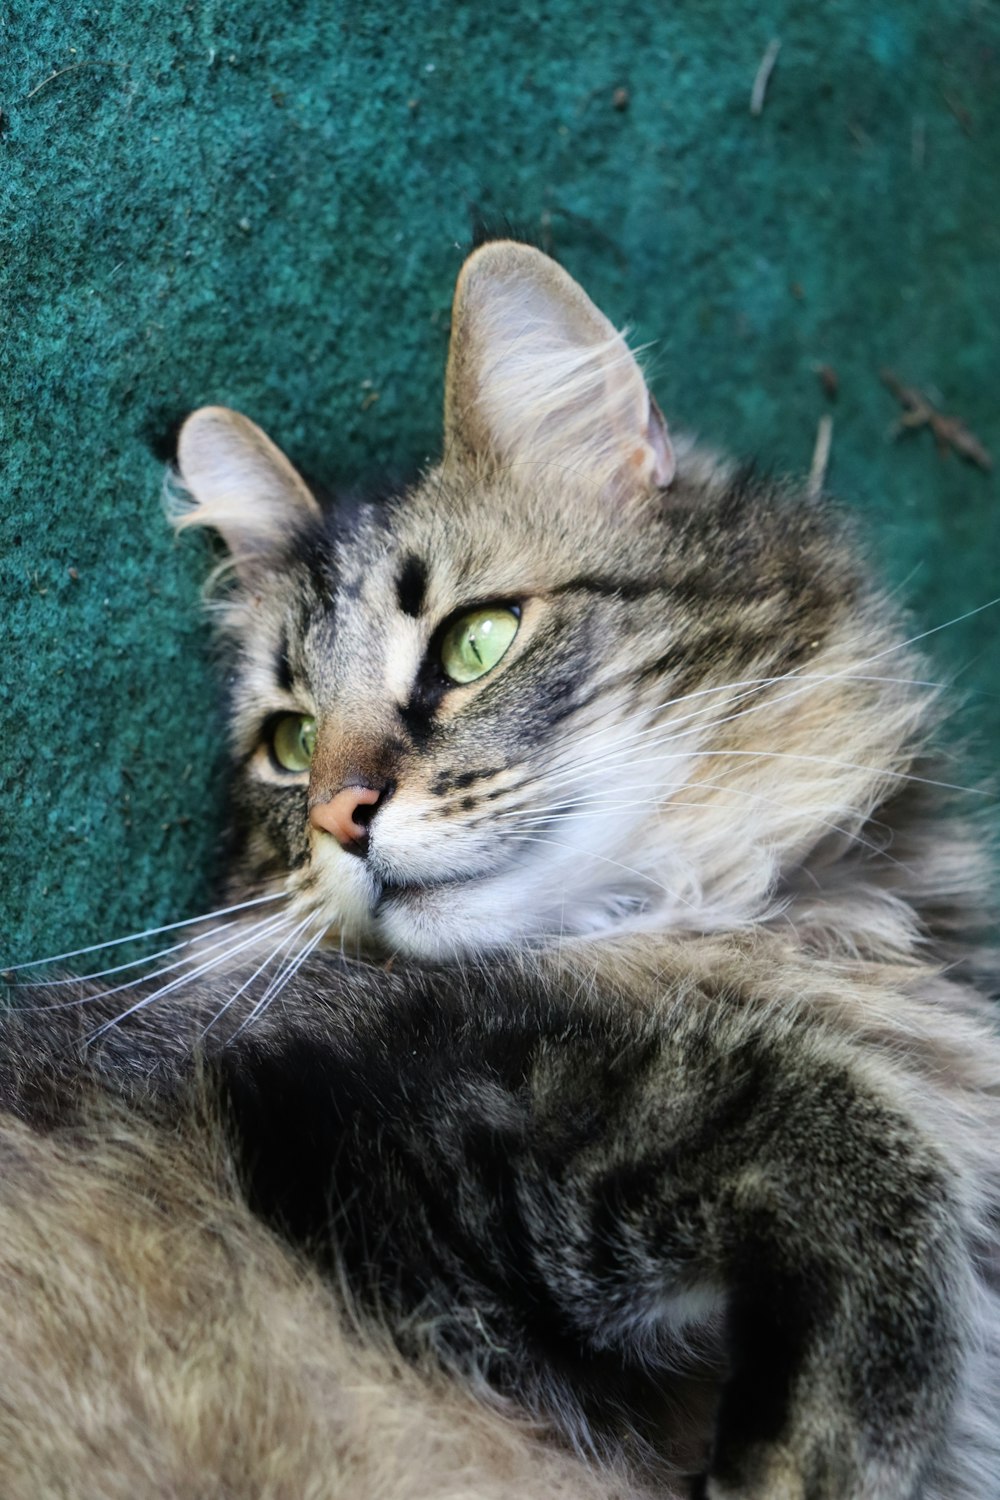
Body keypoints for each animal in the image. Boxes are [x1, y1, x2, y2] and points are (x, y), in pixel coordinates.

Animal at [1, 240, 1000, 1494]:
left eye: (475, 643)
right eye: (291, 741)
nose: (339, 817)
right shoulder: (377, 1124)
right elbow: (828, 1109)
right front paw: (824, 1452)